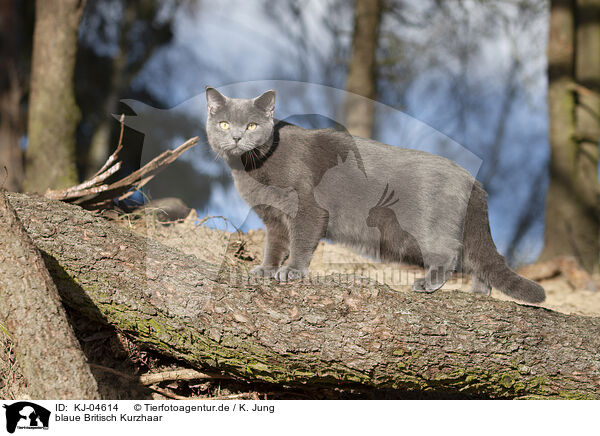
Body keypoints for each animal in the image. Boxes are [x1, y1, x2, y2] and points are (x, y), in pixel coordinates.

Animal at [207, 85, 548, 304]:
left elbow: (301, 242)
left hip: (427, 228)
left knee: (451, 253)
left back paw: (428, 284)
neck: (253, 169)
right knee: (480, 259)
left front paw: (291, 273)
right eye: (223, 124)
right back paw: (480, 292)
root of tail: (472, 180)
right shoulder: (273, 219)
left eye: (252, 125)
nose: (236, 137)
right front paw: (266, 270)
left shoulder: (308, 209)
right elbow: (275, 245)